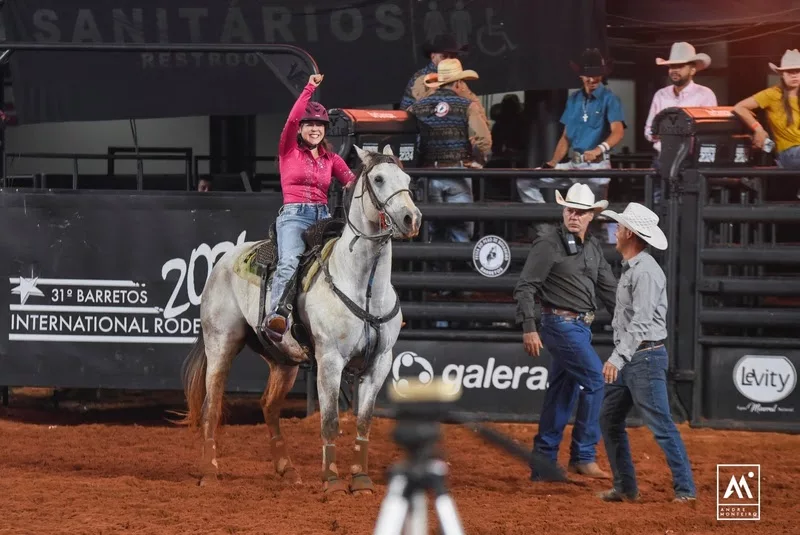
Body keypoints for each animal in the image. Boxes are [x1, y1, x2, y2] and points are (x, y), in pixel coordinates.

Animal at [179, 144, 422, 496]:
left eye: (407, 179)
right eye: (378, 178)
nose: (411, 218)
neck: (361, 284)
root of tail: (222, 262)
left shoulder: (380, 363)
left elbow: (364, 421)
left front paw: (361, 480)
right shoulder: (330, 361)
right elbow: (330, 422)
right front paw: (332, 482)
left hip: (283, 360)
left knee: (269, 405)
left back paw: (287, 469)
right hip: (220, 344)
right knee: (212, 405)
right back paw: (209, 472)